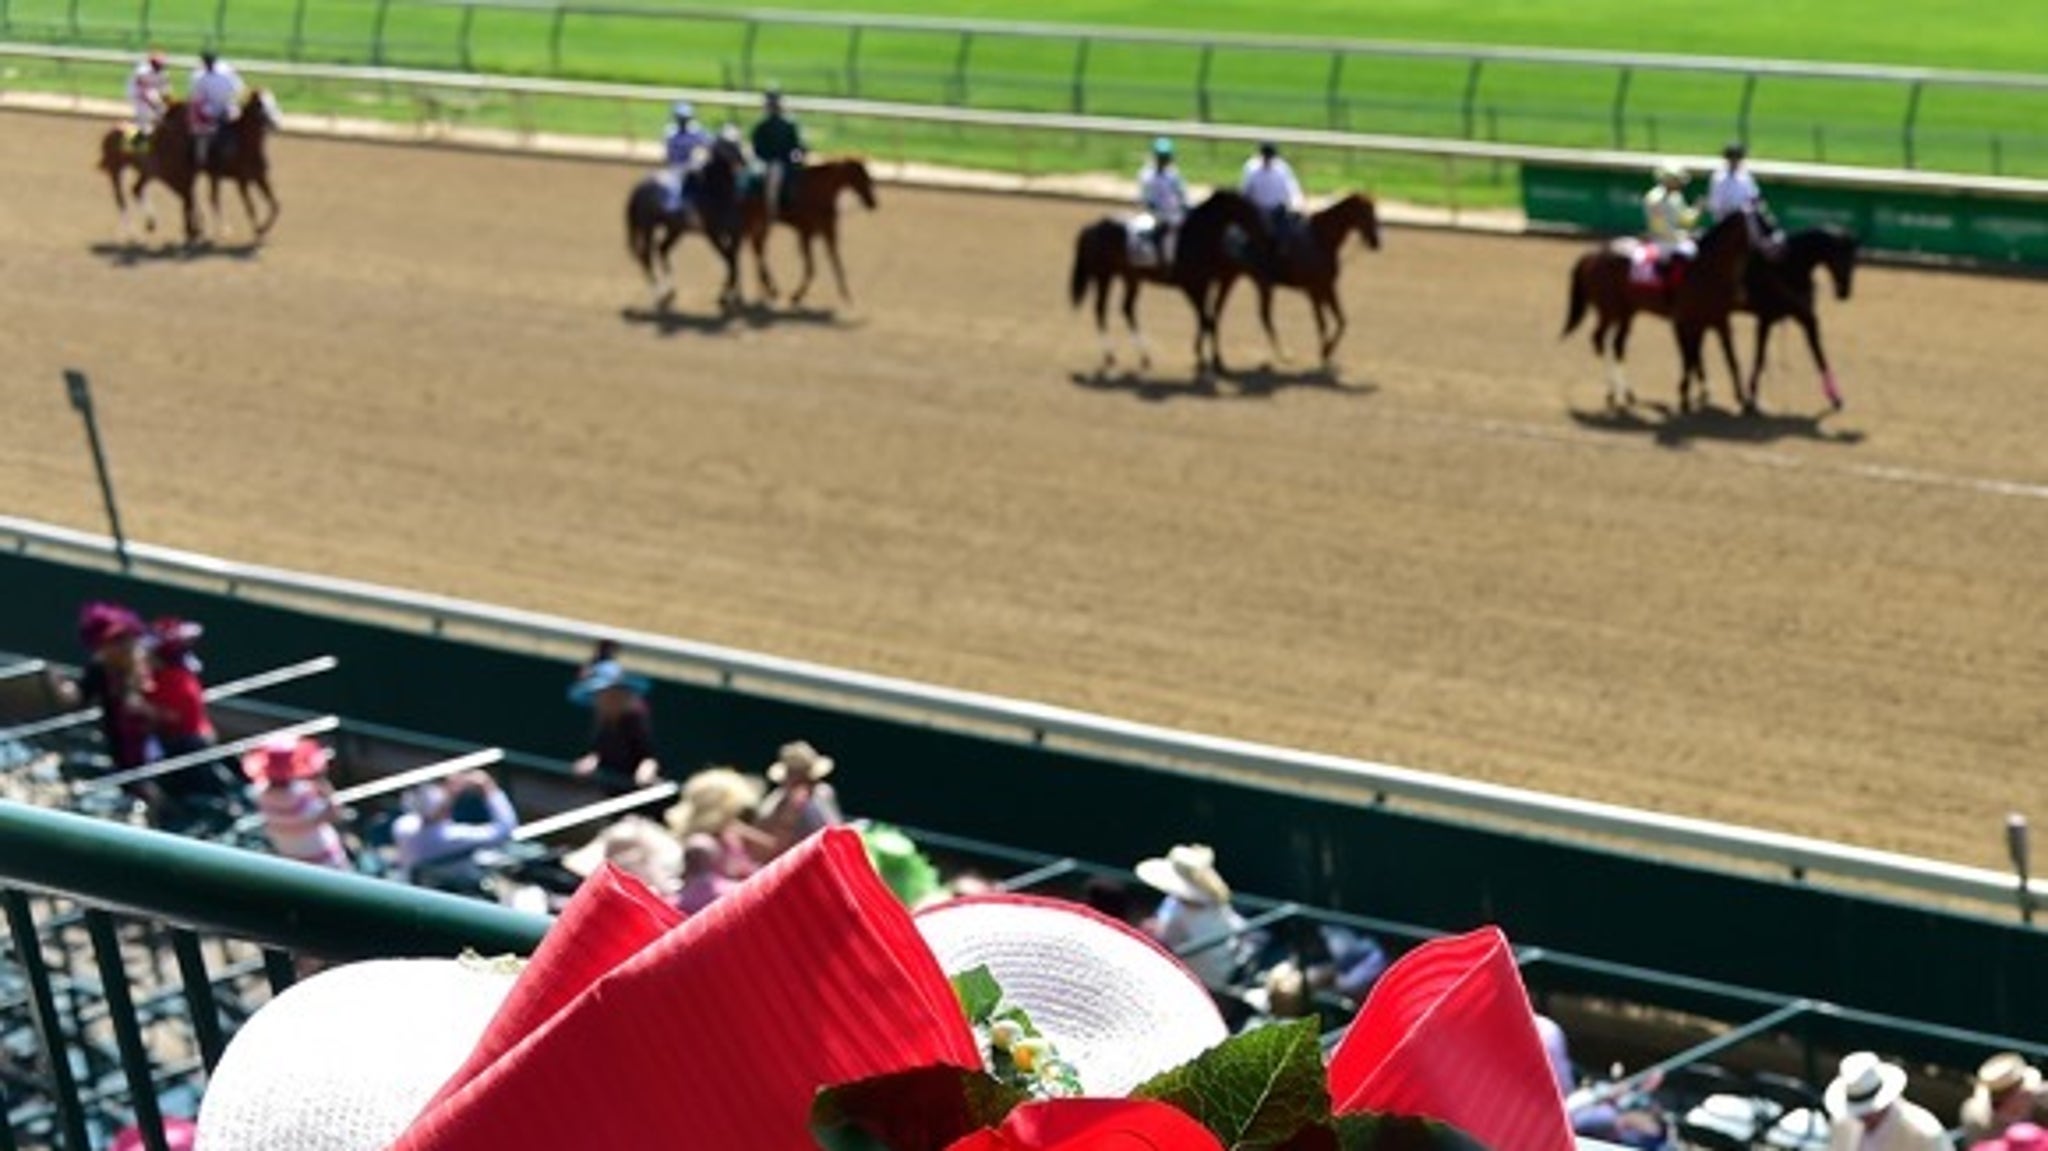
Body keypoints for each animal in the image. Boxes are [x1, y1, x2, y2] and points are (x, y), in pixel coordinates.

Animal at [630, 135, 753, 311]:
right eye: (724, 145)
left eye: (738, 141)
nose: (744, 162)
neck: (716, 192)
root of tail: (640, 188)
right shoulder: (713, 234)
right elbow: (729, 261)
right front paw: (724, 296)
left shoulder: (735, 234)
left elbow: (733, 261)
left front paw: (734, 296)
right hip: (648, 228)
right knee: (647, 256)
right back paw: (658, 294)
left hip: (675, 230)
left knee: (662, 249)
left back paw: (669, 291)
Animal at [745, 158, 880, 309]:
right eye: (861, 177)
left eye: (867, 177)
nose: (873, 203)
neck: (820, 191)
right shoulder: (806, 234)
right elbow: (811, 268)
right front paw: (797, 295)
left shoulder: (828, 232)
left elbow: (836, 262)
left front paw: (846, 295)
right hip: (760, 224)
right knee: (758, 250)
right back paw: (770, 289)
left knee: (758, 249)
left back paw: (768, 289)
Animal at [1204, 192, 1384, 362]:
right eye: (1365, 212)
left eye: (1374, 211)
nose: (1376, 242)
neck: (1320, 240)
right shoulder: (1315, 290)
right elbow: (1324, 323)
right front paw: (1325, 351)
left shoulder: (1326, 287)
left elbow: (1340, 320)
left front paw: (1326, 352)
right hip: (1258, 284)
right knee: (1261, 316)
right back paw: (1283, 354)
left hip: (1231, 278)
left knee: (1217, 313)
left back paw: (1217, 356)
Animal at [1556, 209, 1753, 411]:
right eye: (1760, 224)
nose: (1742, 295)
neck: (1706, 268)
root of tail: (1595, 254)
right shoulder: (1688, 322)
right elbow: (1691, 356)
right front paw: (1687, 395)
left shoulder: (1714, 321)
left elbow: (1717, 357)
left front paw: (1724, 395)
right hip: (1610, 311)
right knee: (1599, 339)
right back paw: (1613, 392)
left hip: (1626, 313)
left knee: (1617, 345)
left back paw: (1627, 393)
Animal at [1744, 224, 1859, 407]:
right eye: (1841, 257)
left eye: (1854, 259)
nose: (1845, 292)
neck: (1789, 267)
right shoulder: (1765, 319)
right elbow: (1760, 357)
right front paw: (1752, 395)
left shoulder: (1807, 318)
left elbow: (1819, 353)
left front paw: (1835, 396)